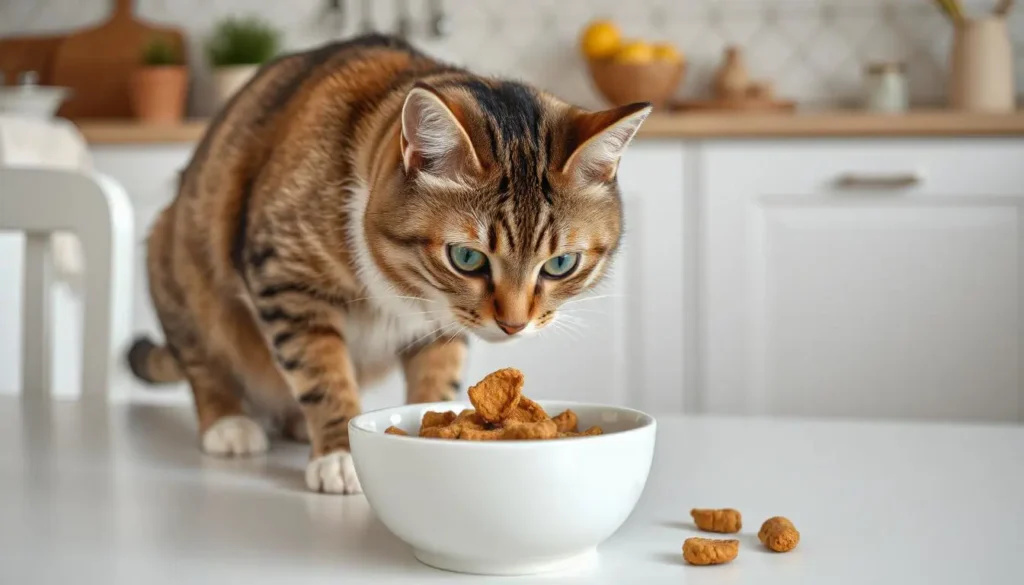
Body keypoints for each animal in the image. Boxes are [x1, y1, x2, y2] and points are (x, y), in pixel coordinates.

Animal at [125, 34, 647, 493]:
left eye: (561, 264)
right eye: (467, 257)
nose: (513, 325)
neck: (405, 288)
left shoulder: (444, 323)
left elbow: (438, 371)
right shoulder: (285, 276)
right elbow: (321, 371)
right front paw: (339, 454)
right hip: (176, 260)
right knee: (203, 359)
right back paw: (229, 423)